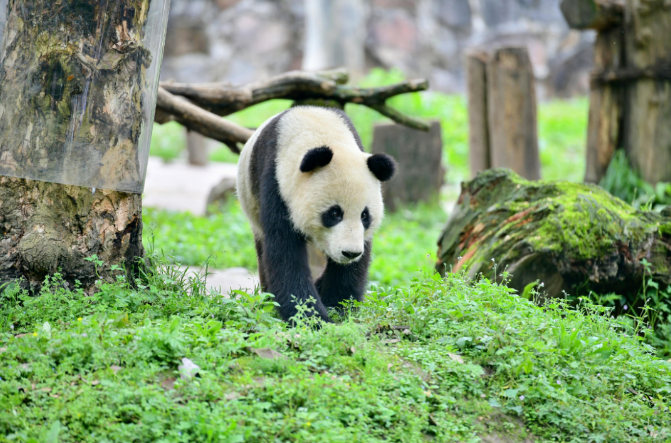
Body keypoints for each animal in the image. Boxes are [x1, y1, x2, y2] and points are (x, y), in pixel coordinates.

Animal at [236, 106, 396, 322]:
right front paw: (313, 319)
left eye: (365, 216)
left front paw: (338, 306)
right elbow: (285, 253)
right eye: (334, 213)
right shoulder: (275, 184)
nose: (350, 253)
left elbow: (354, 265)